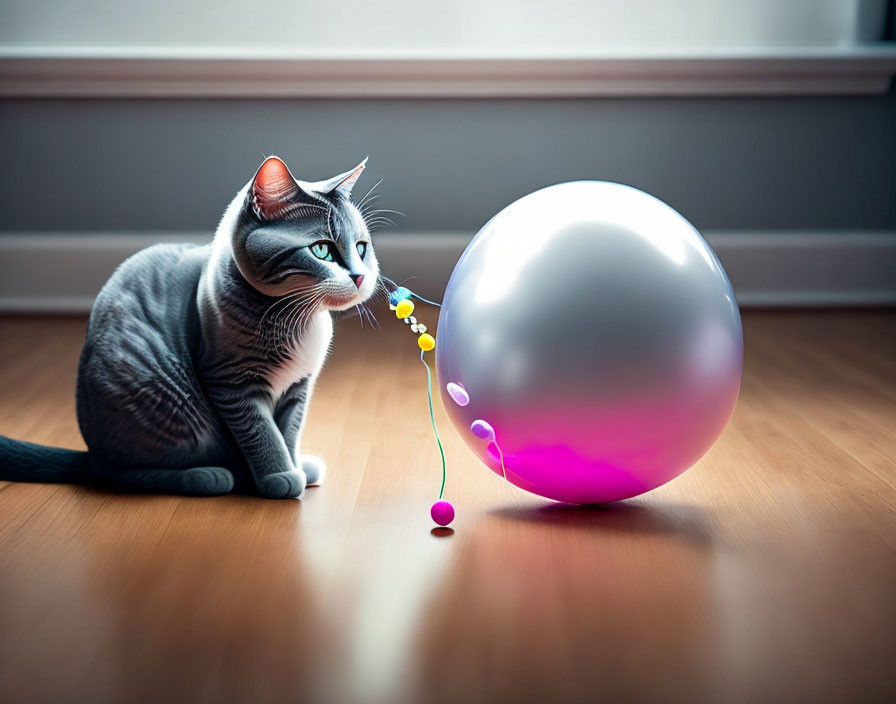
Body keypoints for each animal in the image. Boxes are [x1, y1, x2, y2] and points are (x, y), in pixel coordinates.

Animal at [0, 155, 382, 496]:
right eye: (322, 251)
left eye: (362, 248)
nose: (360, 276)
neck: (299, 319)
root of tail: (91, 452)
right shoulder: (231, 385)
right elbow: (263, 435)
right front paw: (280, 477)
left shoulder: (298, 388)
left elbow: (288, 432)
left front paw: (295, 466)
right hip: (155, 402)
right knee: (121, 475)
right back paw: (208, 476)